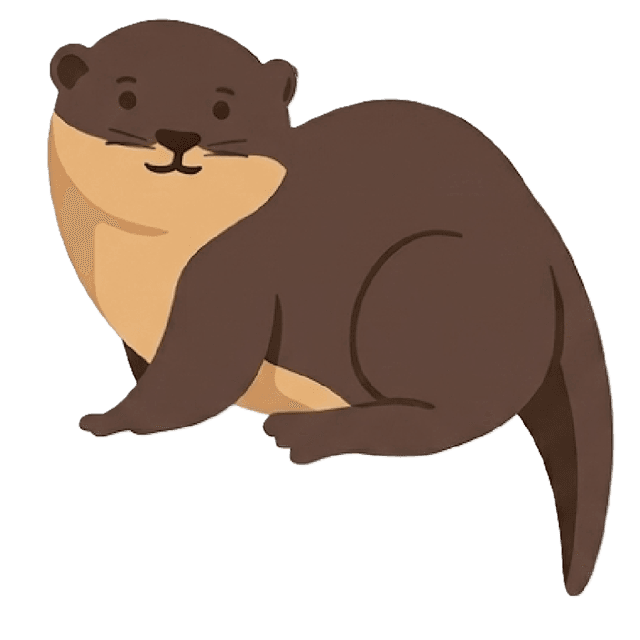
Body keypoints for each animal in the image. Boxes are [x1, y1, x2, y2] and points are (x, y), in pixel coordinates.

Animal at [48, 19, 613, 597]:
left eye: (223, 108)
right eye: (126, 96)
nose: (179, 136)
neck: (143, 261)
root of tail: (548, 241)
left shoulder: (233, 278)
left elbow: (192, 385)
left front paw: (110, 419)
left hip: (422, 281)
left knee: (453, 415)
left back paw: (305, 434)